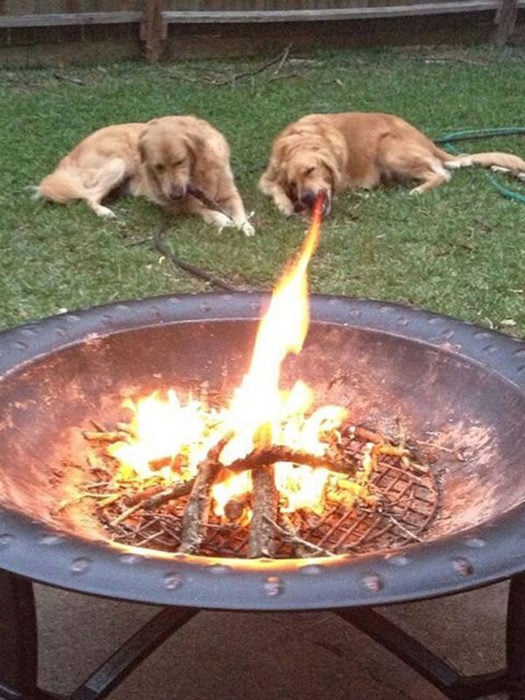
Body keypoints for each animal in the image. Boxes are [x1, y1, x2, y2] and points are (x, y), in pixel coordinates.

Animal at [34, 115, 254, 235]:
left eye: (180, 161)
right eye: (158, 167)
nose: (176, 194)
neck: (197, 175)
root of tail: (68, 159)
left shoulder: (230, 192)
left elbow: (239, 208)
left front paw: (245, 225)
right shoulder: (171, 203)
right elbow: (198, 207)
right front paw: (220, 217)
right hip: (118, 164)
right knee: (89, 196)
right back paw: (105, 211)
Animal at [258, 111, 524, 216]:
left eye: (311, 170)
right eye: (293, 183)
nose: (306, 199)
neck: (300, 140)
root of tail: (426, 140)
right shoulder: (266, 177)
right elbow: (273, 187)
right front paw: (284, 203)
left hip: (389, 150)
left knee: (441, 174)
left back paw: (417, 190)